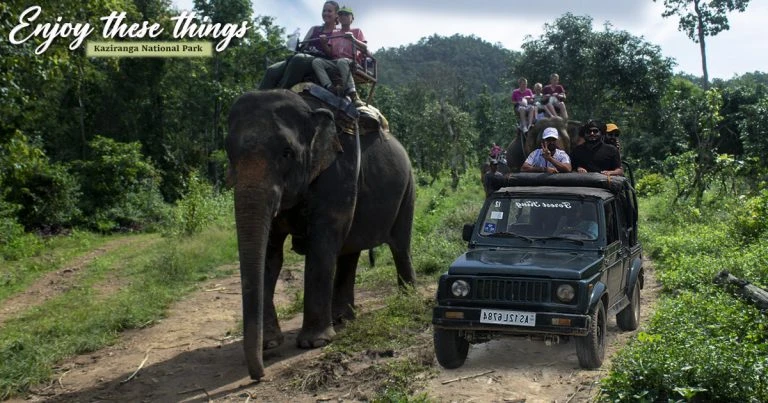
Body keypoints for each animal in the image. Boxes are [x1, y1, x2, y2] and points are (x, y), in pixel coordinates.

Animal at [225, 88, 416, 380]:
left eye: (287, 153)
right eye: (229, 153)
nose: (258, 375)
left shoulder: (337, 174)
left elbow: (321, 245)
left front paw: (314, 343)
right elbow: (270, 254)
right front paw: (270, 343)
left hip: (408, 188)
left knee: (400, 245)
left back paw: (407, 297)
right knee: (350, 252)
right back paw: (343, 318)